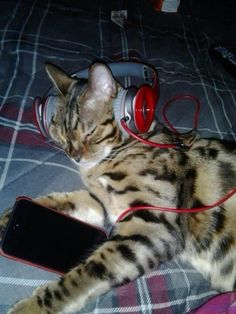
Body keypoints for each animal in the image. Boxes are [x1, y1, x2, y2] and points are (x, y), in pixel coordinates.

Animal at [0, 62, 236, 314]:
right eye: (62, 135)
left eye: (90, 132)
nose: (74, 157)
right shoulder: (99, 201)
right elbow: (57, 201)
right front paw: (7, 219)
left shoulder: (150, 226)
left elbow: (87, 274)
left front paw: (32, 307)